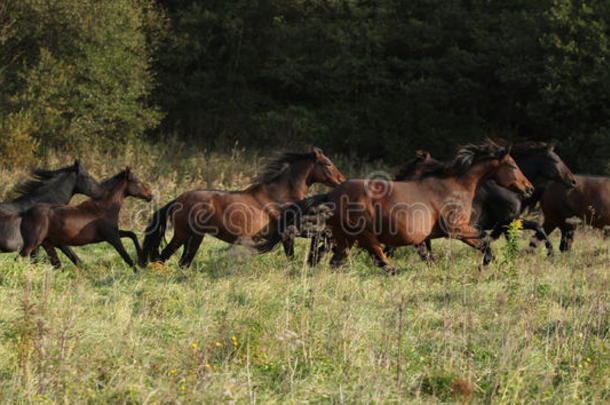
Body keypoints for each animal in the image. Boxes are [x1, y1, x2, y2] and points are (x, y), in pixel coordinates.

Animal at [19, 166, 152, 270]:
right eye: (137, 181)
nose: (150, 196)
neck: (104, 208)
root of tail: (26, 213)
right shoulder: (112, 237)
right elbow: (126, 256)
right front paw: (138, 271)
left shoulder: (111, 234)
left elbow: (132, 234)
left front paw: (142, 260)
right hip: (32, 243)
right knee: (20, 258)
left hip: (46, 244)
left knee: (53, 263)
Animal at [140, 147, 344, 266]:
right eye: (327, 163)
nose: (341, 180)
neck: (281, 196)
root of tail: (177, 200)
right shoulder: (288, 232)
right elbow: (292, 254)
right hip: (183, 234)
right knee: (163, 256)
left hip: (195, 237)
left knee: (183, 261)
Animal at [262, 140, 532, 274]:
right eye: (513, 165)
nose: (528, 188)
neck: (456, 185)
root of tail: (331, 193)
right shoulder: (456, 229)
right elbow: (484, 239)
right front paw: (484, 264)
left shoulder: (430, 237)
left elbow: (431, 255)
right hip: (362, 235)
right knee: (378, 258)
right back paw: (395, 271)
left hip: (343, 238)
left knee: (334, 262)